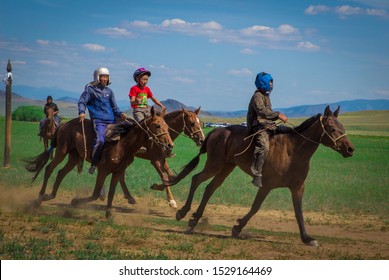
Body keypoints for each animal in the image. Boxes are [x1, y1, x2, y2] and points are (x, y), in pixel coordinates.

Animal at [26, 107, 173, 217]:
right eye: (157, 125)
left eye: (167, 125)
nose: (170, 145)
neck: (123, 144)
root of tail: (64, 124)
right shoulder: (103, 171)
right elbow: (96, 194)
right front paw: (75, 201)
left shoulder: (117, 172)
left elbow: (111, 193)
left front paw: (108, 214)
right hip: (61, 152)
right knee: (49, 169)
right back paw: (39, 199)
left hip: (74, 157)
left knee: (61, 173)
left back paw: (49, 196)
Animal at [162, 106, 354, 246]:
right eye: (332, 128)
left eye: (342, 127)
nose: (350, 149)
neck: (293, 151)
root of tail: (214, 133)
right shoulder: (266, 185)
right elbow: (255, 207)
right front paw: (237, 228)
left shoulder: (298, 187)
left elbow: (299, 212)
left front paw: (307, 238)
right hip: (214, 165)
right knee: (196, 179)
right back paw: (183, 212)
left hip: (226, 167)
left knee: (210, 188)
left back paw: (194, 220)